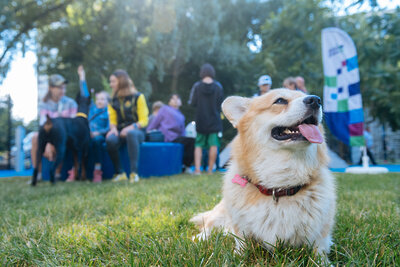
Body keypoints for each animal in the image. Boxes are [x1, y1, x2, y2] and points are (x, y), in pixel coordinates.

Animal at [192, 89, 336, 260]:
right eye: (280, 101)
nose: (316, 100)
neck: (279, 187)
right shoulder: (240, 227)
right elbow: (241, 243)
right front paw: (238, 255)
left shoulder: (321, 233)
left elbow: (319, 249)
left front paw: (323, 261)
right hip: (221, 213)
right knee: (208, 225)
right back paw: (199, 238)